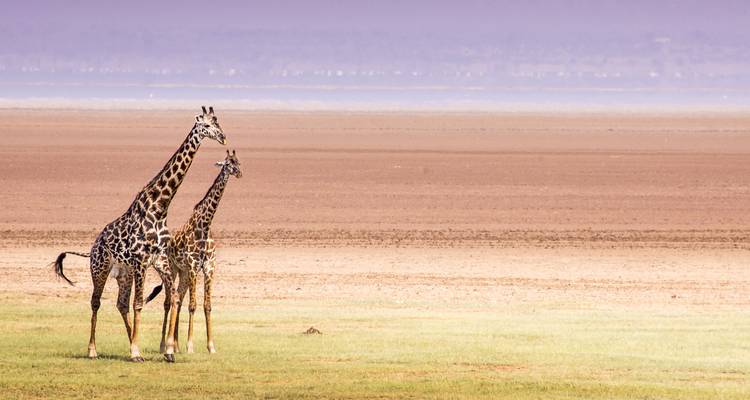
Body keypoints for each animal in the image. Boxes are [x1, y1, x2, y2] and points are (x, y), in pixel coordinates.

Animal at [53, 106, 227, 363]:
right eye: (205, 126)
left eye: (218, 122)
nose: (223, 137)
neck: (160, 206)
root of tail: (93, 246)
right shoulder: (142, 261)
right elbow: (139, 304)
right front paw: (136, 352)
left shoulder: (160, 260)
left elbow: (172, 298)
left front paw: (168, 351)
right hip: (100, 268)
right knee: (96, 302)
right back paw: (94, 350)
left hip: (124, 273)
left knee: (121, 304)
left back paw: (131, 344)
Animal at [146, 150, 242, 354]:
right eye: (228, 163)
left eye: (238, 162)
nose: (239, 173)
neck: (205, 225)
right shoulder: (192, 266)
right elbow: (193, 305)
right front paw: (190, 346)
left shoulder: (208, 268)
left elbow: (207, 306)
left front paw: (211, 346)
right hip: (174, 269)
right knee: (169, 302)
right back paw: (164, 345)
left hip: (183, 274)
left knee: (179, 300)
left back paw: (175, 345)